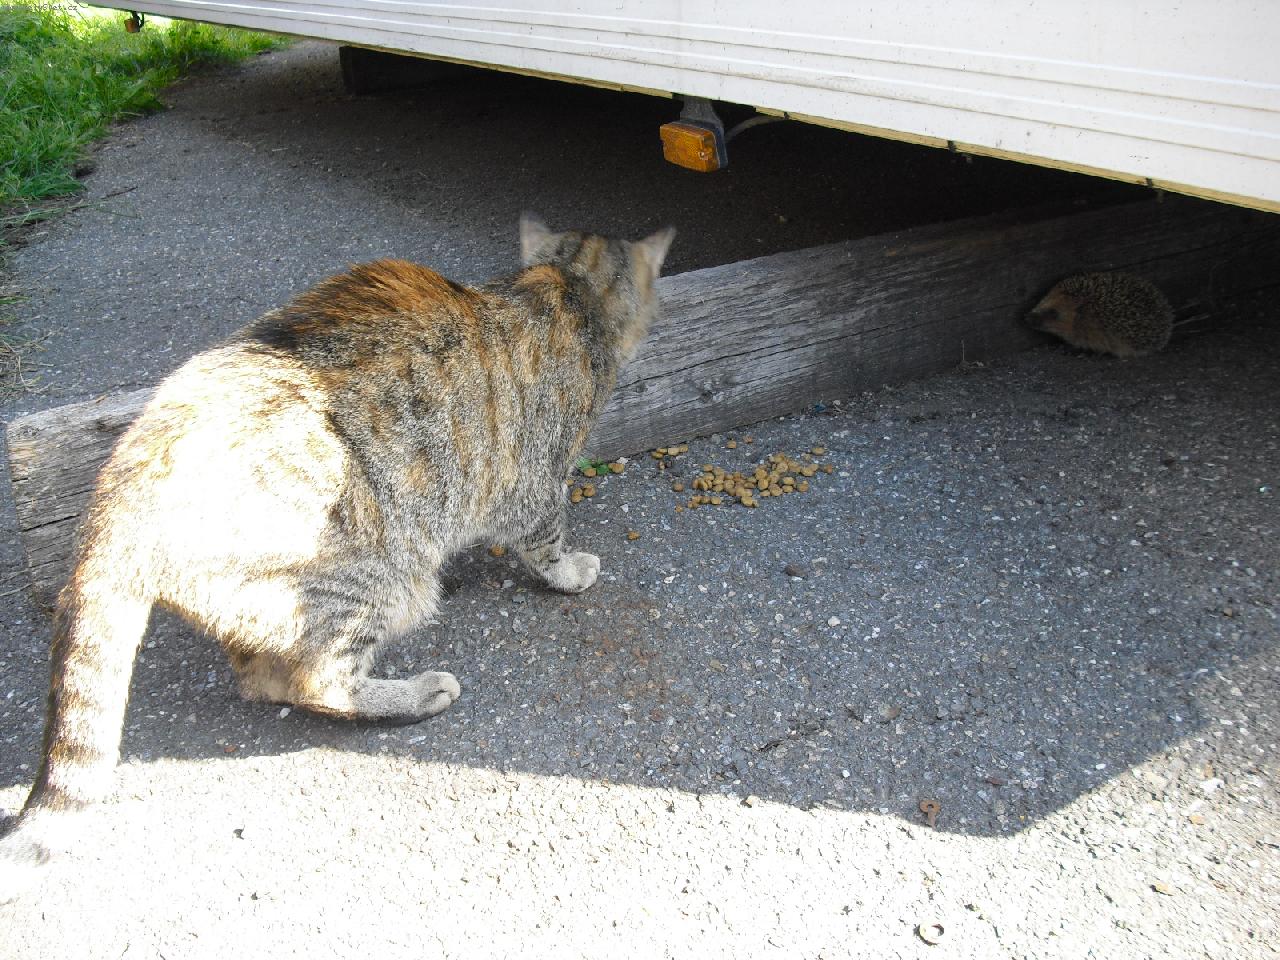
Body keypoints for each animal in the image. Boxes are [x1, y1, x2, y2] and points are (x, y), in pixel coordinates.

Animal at [0, 214, 675, 898]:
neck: (559, 285)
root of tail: (119, 487)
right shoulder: (535, 483)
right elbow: (546, 542)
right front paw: (571, 571)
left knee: (262, 675)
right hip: (381, 579)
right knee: (318, 678)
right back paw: (416, 694)